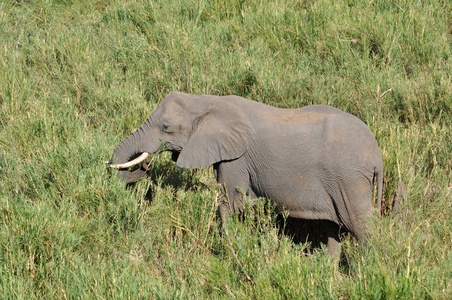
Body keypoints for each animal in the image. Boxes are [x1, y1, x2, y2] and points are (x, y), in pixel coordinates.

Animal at [107, 91, 384, 255]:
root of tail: (377, 155)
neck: (206, 100)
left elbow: (230, 202)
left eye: (165, 127)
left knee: (362, 227)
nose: (146, 165)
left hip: (349, 179)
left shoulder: (237, 158)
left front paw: (228, 249)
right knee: (333, 228)